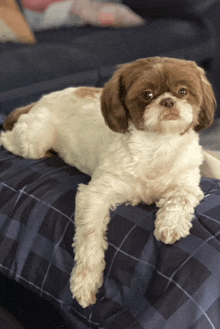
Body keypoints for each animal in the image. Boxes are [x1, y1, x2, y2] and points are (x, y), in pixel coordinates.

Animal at [0, 57, 217, 308]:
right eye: (147, 95)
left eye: (183, 91)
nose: (168, 101)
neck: (158, 144)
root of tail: (41, 99)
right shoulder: (95, 195)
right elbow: (90, 237)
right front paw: (85, 283)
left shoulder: (187, 182)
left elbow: (180, 199)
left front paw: (170, 225)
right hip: (33, 141)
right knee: (9, 140)